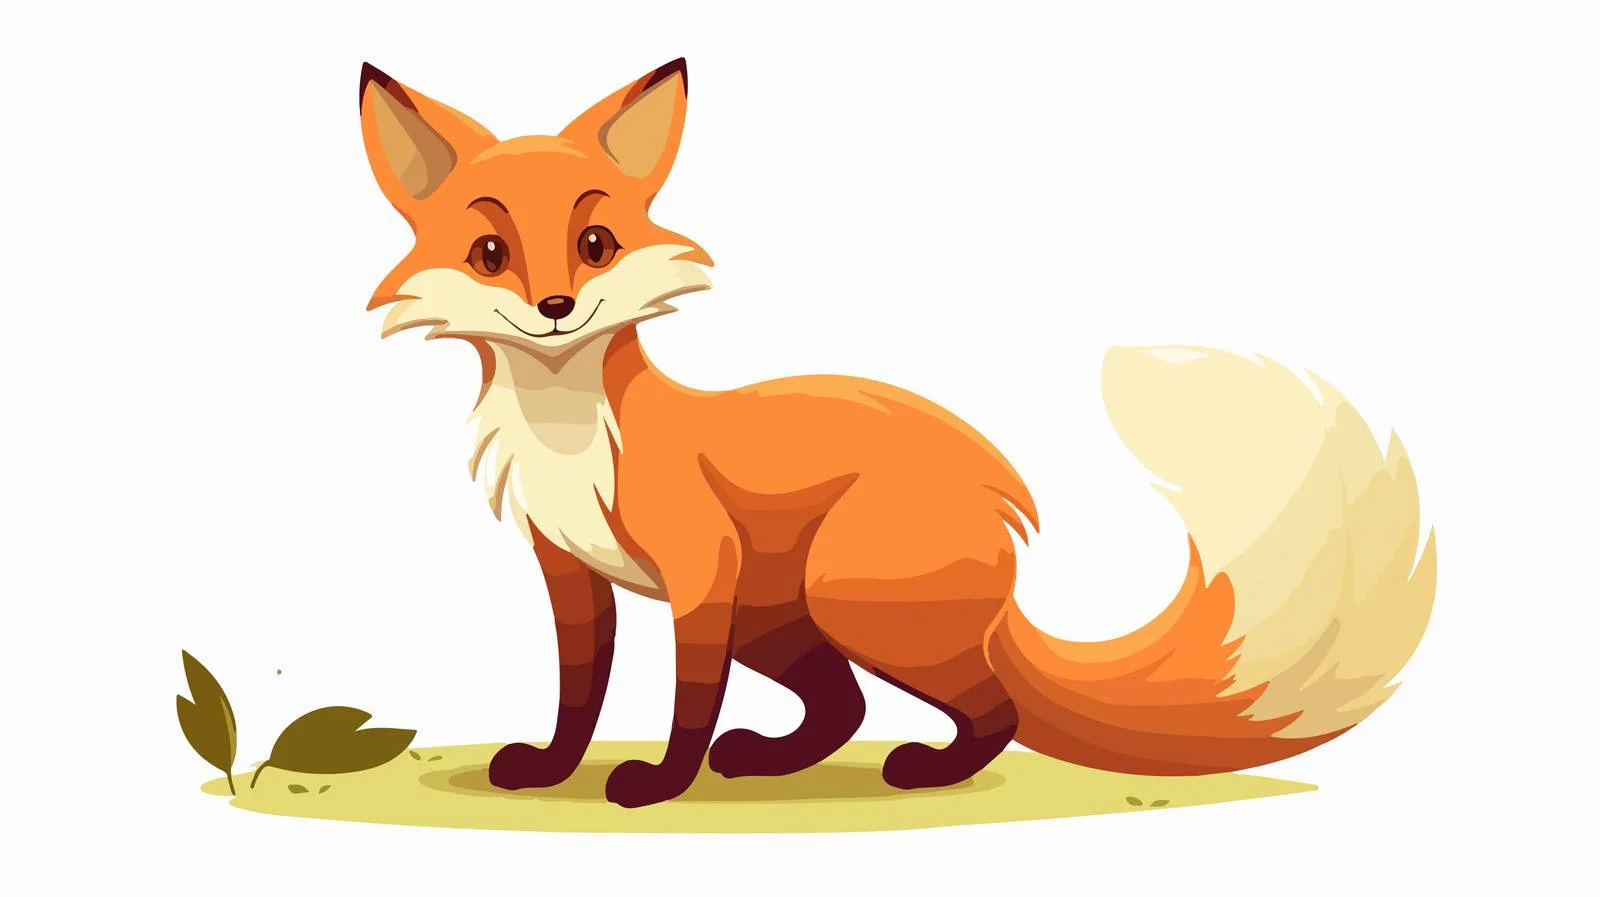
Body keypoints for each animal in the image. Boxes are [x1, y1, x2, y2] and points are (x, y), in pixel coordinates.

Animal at [359, 58, 1437, 808]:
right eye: (488, 252)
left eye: (596, 243)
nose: (553, 307)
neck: (569, 432)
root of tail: (1002, 521)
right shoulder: (571, 573)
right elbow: (578, 691)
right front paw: (552, 768)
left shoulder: (702, 572)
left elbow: (687, 695)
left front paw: (662, 782)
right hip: (785, 615)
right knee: (847, 706)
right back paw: (769, 761)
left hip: (845, 598)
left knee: (987, 706)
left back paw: (925, 770)